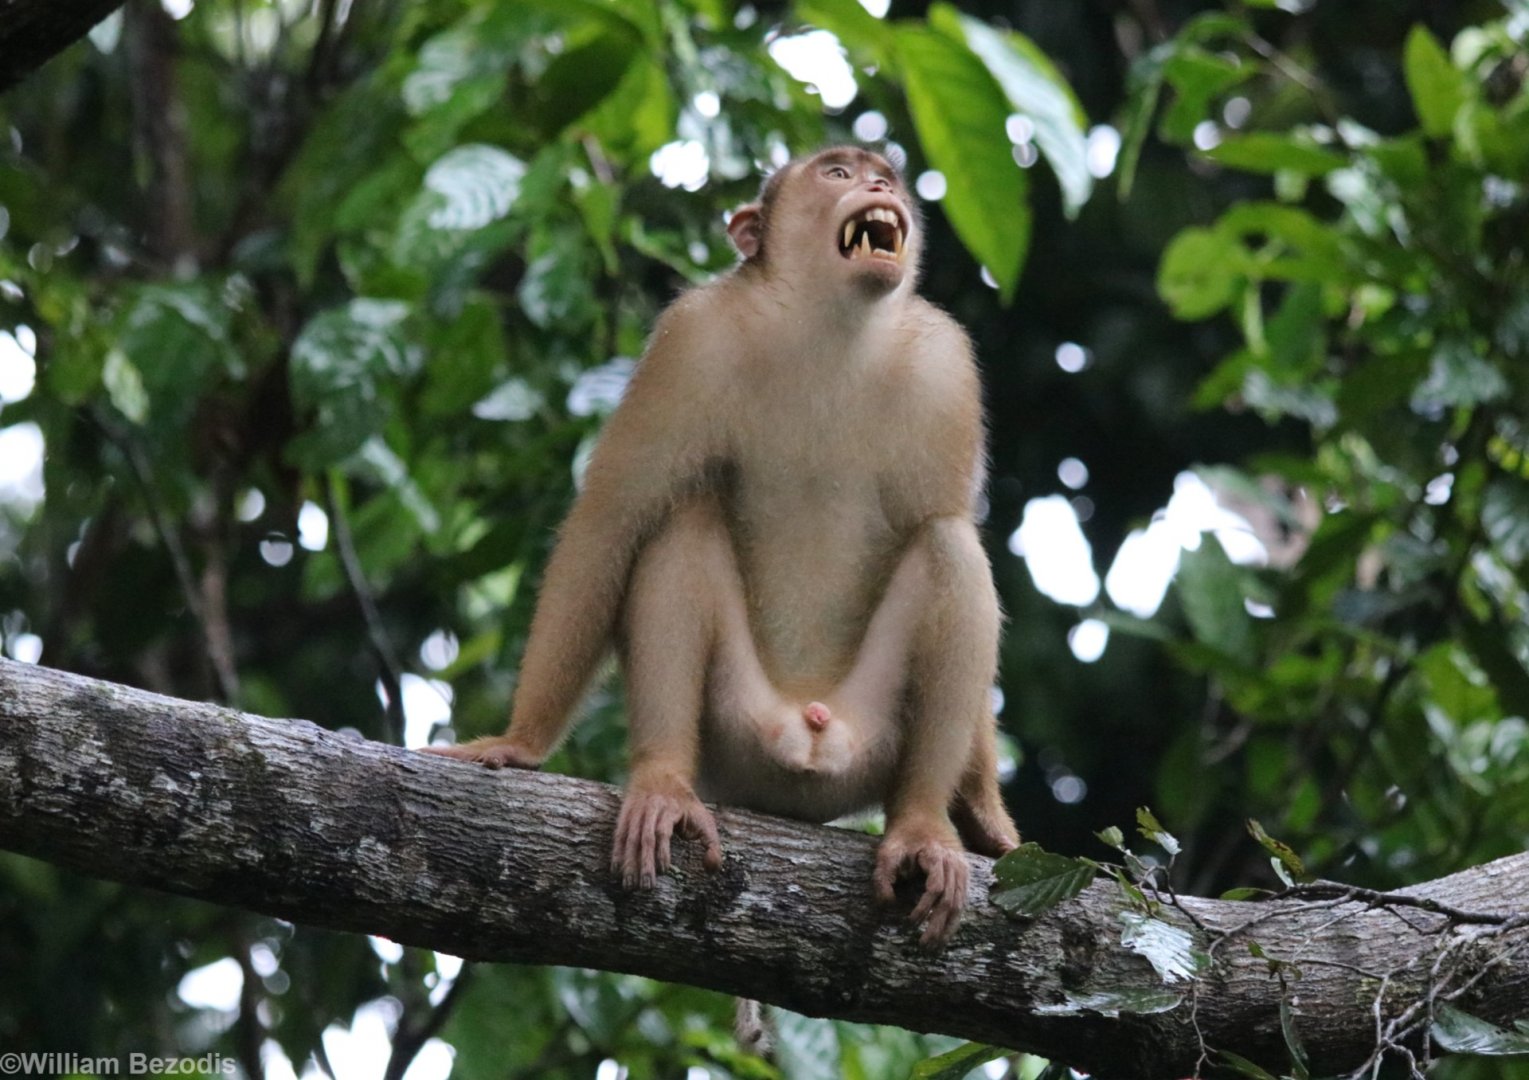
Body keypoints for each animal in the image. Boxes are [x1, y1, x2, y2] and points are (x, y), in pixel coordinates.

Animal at [425, 145, 1019, 946]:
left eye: (884, 176)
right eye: (836, 172)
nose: (878, 184)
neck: (829, 326)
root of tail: (808, 731)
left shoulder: (946, 367)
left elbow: (946, 520)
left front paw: (984, 813)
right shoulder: (692, 339)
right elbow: (613, 515)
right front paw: (519, 741)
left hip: (870, 739)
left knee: (948, 542)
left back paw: (922, 823)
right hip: (738, 735)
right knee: (682, 519)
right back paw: (663, 781)